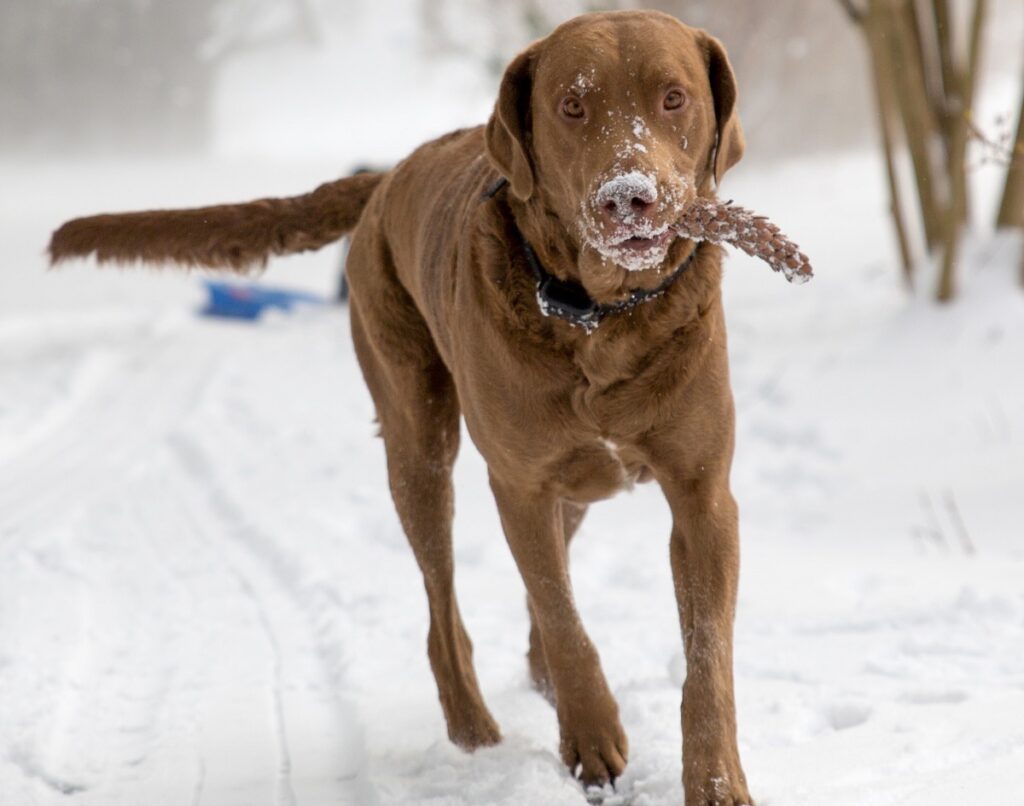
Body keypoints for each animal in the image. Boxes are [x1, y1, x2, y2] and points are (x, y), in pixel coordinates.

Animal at [54, 9, 761, 802]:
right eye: (571, 106)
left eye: (673, 98)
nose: (627, 196)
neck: (601, 318)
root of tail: (388, 174)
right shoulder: (519, 484)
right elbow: (560, 612)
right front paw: (591, 735)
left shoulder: (702, 494)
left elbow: (706, 655)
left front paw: (715, 780)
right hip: (417, 443)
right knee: (442, 607)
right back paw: (474, 731)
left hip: (576, 478)